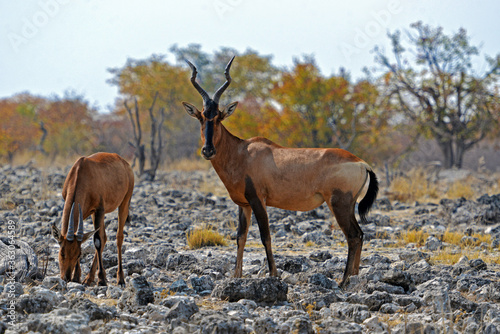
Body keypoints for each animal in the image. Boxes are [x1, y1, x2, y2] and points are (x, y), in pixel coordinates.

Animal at [50, 153, 135, 286]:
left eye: (78, 254)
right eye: (62, 252)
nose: (66, 278)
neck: (81, 170)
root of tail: (124, 162)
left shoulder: (99, 209)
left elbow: (97, 241)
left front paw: (101, 279)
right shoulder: (85, 211)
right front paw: (77, 277)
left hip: (124, 203)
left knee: (118, 237)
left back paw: (120, 278)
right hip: (94, 213)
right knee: (105, 237)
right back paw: (89, 278)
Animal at [182, 56, 376, 288]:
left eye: (219, 117)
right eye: (201, 117)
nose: (208, 150)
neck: (242, 152)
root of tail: (361, 163)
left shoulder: (258, 200)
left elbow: (265, 236)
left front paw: (274, 275)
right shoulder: (244, 205)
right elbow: (240, 237)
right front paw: (236, 276)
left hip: (339, 204)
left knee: (353, 236)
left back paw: (343, 281)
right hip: (348, 205)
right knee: (360, 235)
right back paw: (353, 278)